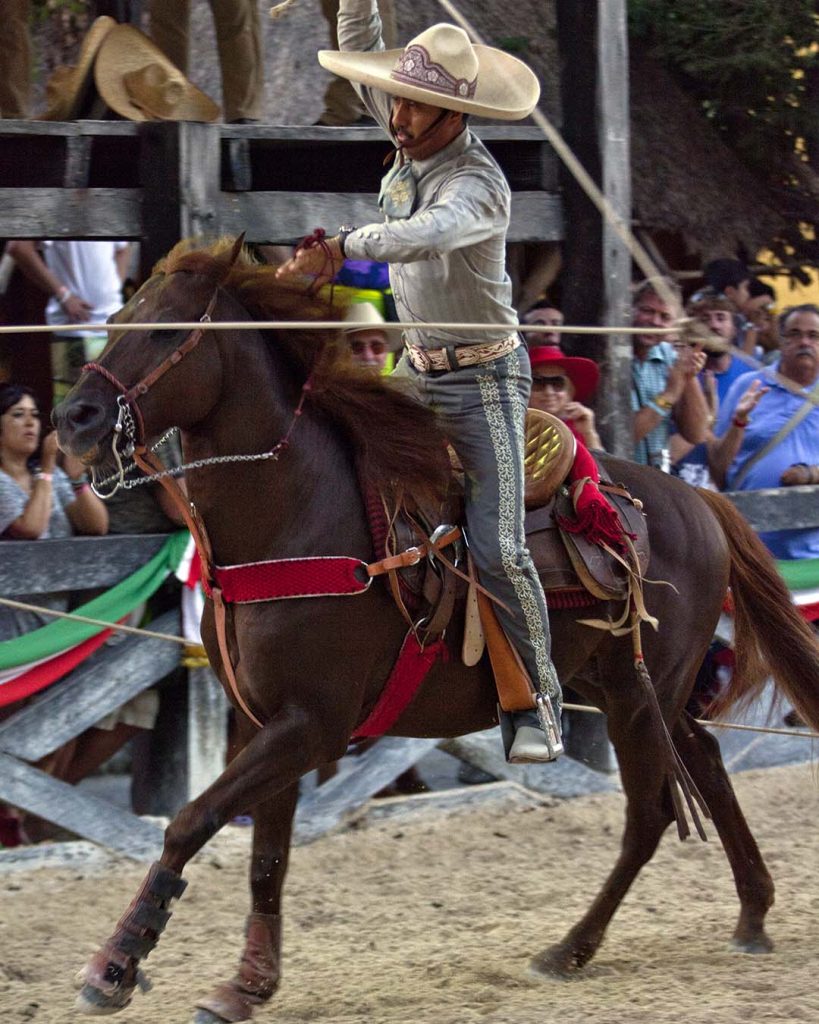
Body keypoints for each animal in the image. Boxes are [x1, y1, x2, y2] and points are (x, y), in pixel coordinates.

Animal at [52, 235, 818, 1019]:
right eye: (116, 318)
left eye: (167, 331)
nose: (75, 418)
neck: (297, 515)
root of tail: (696, 500)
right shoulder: (265, 722)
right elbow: (267, 856)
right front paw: (249, 981)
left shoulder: (310, 725)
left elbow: (190, 821)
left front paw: (116, 964)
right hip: (619, 687)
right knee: (707, 760)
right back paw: (752, 913)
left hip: (639, 696)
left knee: (650, 814)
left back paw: (570, 948)